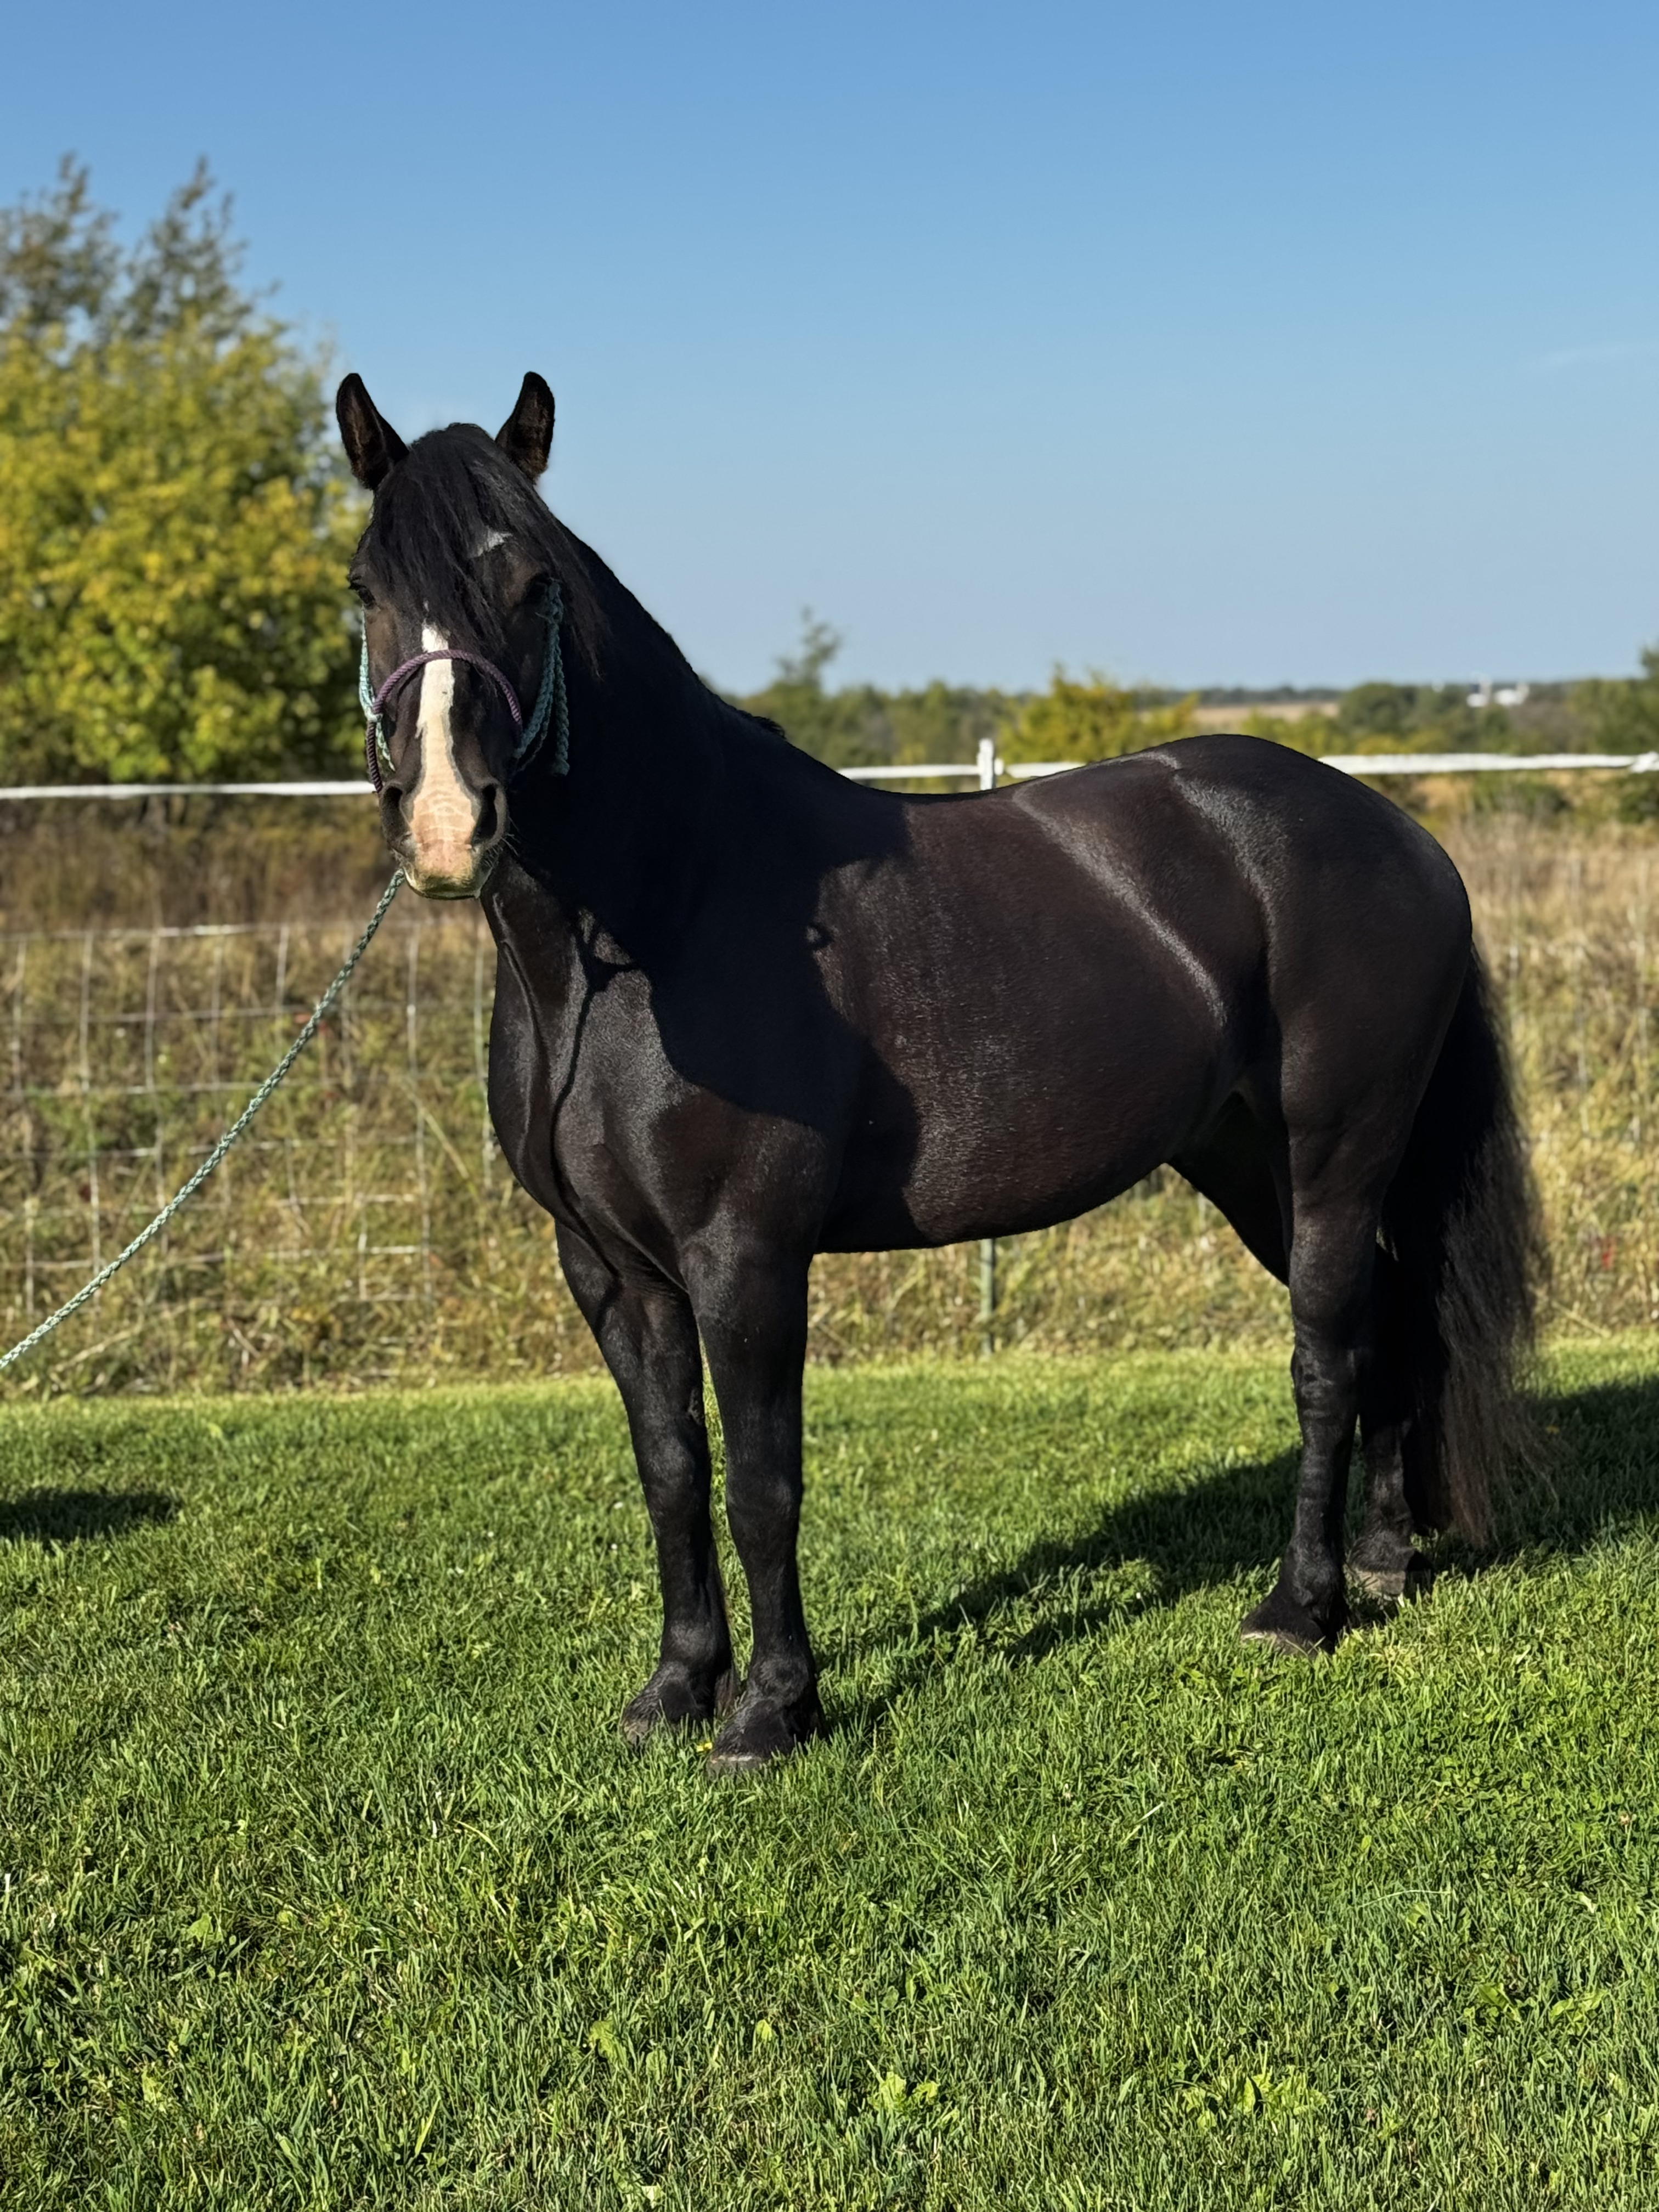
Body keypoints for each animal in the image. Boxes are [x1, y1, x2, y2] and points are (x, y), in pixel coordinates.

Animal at [336, 369, 1541, 1775]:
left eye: (529, 584)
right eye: (364, 585)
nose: (445, 825)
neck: (659, 921)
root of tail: (1403, 834)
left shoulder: (745, 1257)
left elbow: (764, 1478)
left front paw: (772, 1711)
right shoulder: (607, 1268)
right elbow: (671, 1469)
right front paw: (676, 1690)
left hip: (1340, 1159)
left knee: (1329, 1357)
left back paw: (1301, 1607)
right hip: (1255, 1166)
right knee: (1394, 1327)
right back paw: (1386, 1568)